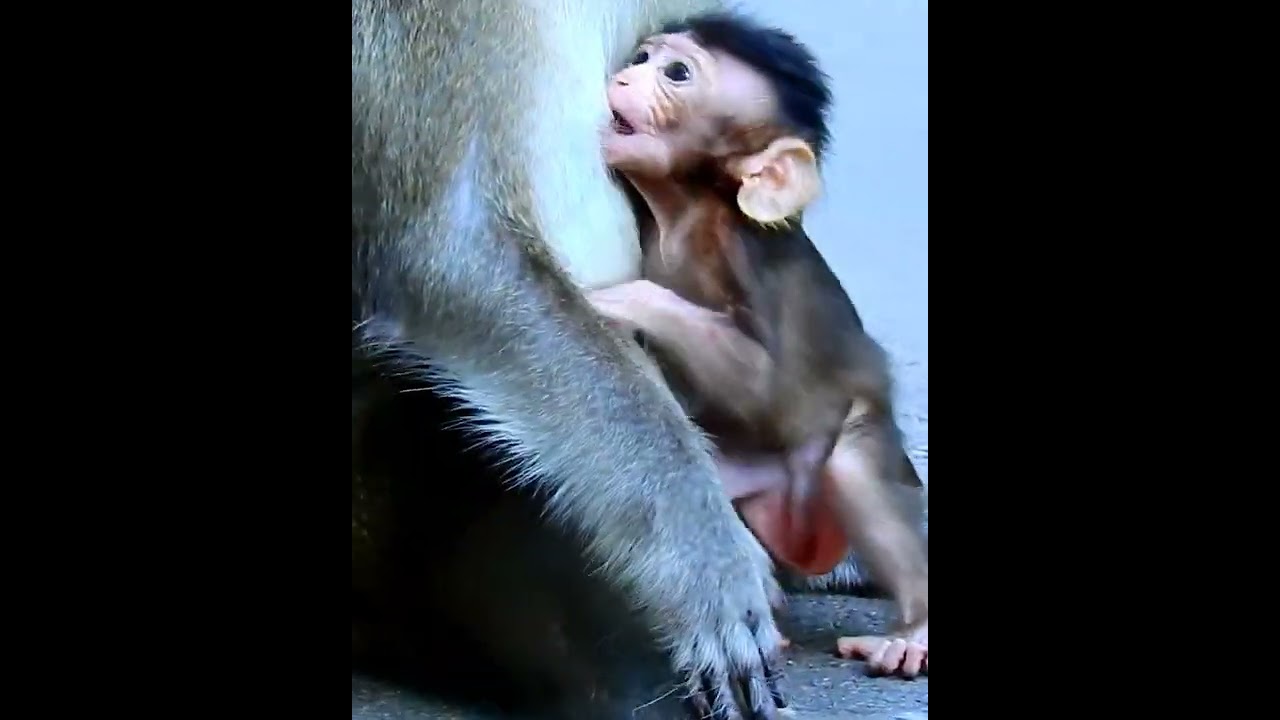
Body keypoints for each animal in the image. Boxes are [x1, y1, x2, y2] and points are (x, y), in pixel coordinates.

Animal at [585, 12, 929, 679]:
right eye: (642, 57)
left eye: (676, 73)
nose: (624, 75)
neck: (686, 211)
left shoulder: (747, 256)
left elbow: (775, 390)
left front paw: (621, 300)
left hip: (843, 441)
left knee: (851, 466)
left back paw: (915, 629)